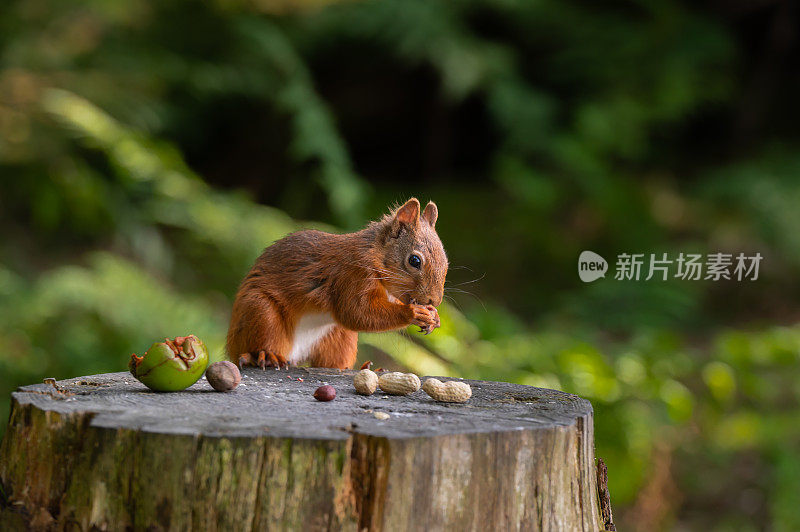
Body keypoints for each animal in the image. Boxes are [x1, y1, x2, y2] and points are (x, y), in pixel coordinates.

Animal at [228, 198, 446, 370]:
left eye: (446, 260)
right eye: (414, 261)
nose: (434, 300)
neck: (375, 255)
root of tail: (295, 355)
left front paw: (433, 317)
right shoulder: (352, 275)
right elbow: (356, 312)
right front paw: (414, 313)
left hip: (339, 338)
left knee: (333, 364)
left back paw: (364, 368)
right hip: (260, 312)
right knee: (260, 340)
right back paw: (264, 356)